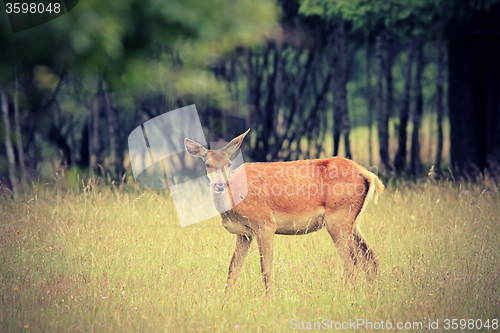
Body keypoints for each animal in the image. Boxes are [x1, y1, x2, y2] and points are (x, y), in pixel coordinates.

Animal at [186, 128, 384, 292]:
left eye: (228, 163)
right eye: (207, 164)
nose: (219, 185)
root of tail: (369, 175)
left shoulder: (265, 224)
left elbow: (266, 268)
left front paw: (269, 299)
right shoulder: (244, 234)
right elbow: (233, 268)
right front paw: (226, 298)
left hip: (338, 218)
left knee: (351, 261)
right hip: (353, 222)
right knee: (371, 258)